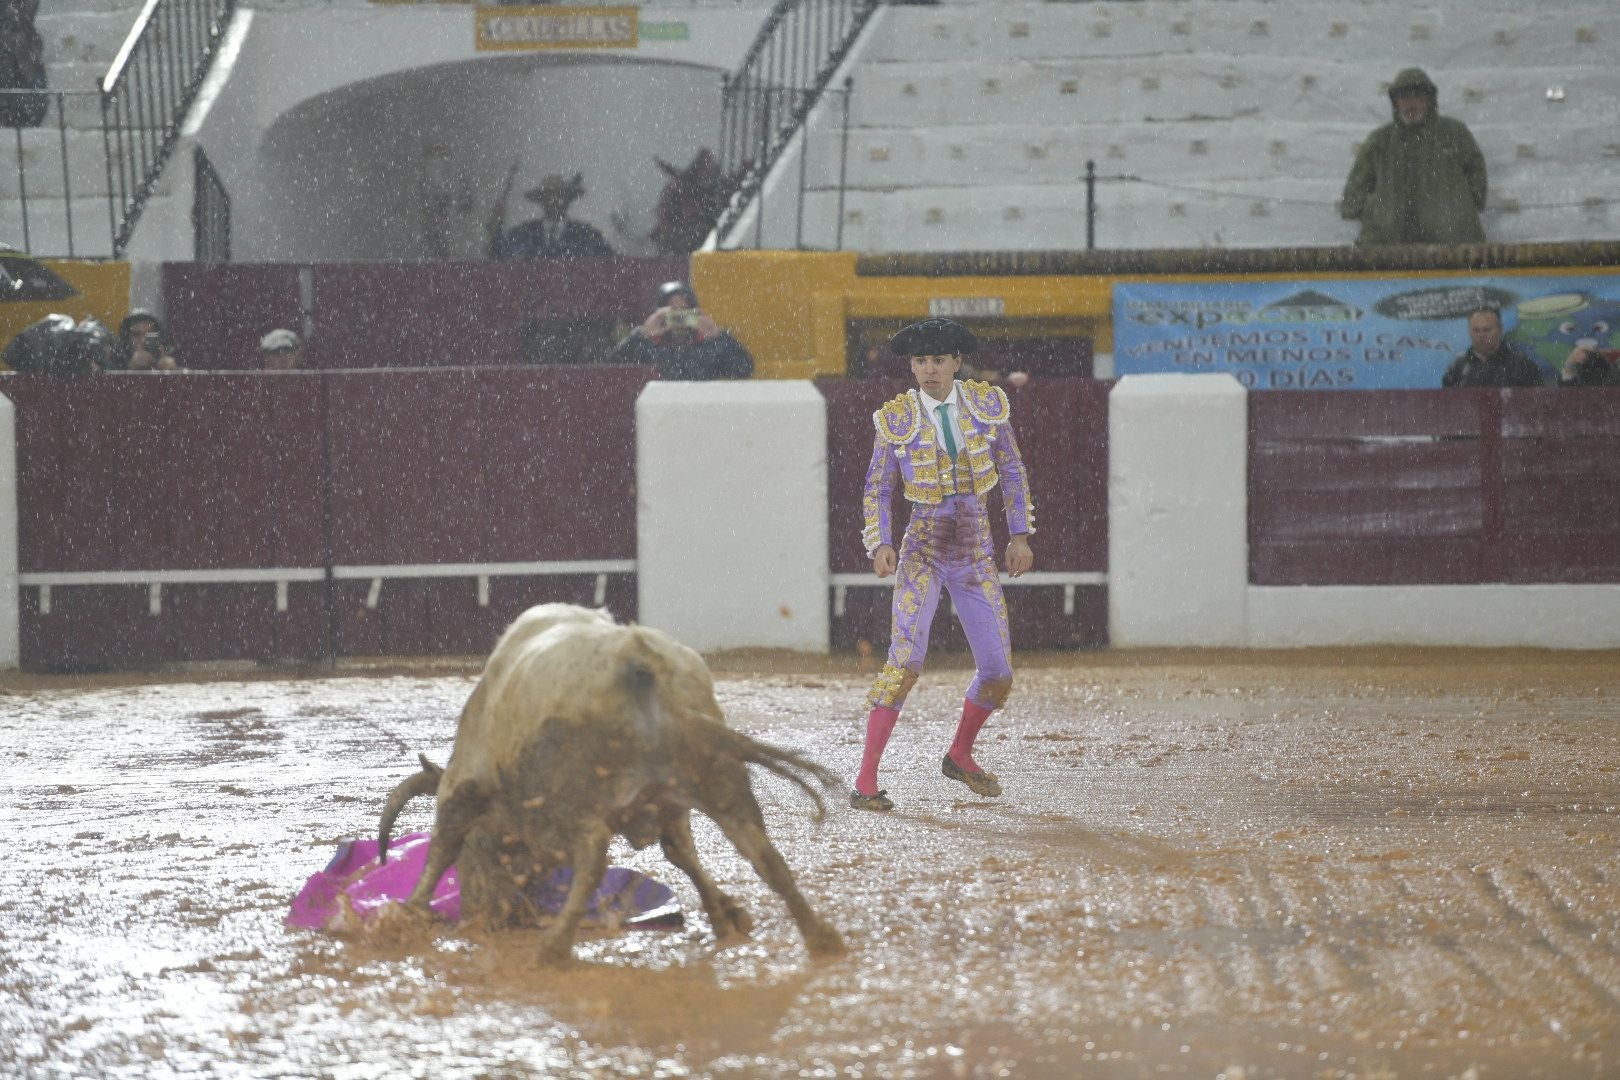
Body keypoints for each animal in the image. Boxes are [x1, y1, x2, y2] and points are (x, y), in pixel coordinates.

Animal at [377, 605, 848, 965]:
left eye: (475, 856)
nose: (478, 914)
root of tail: (639, 666)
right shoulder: (670, 806)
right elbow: (682, 854)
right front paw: (725, 913)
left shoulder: (466, 785)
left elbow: (442, 845)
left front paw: (408, 913)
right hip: (719, 780)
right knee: (762, 854)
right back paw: (821, 936)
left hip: (580, 799)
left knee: (592, 861)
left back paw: (552, 949)